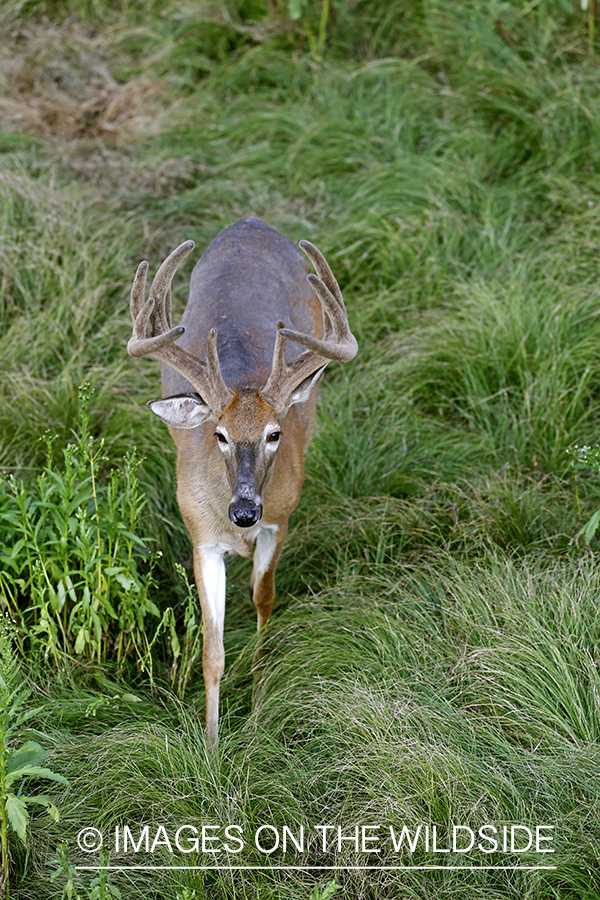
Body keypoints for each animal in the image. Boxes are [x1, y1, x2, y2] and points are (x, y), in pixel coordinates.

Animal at [126, 216, 356, 744]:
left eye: (274, 434)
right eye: (220, 435)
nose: (245, 510)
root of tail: (250, 222)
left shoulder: (280, 519)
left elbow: (263, 600)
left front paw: (256, 707)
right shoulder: (201, 537)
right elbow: (211, 650)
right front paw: (210, 745)